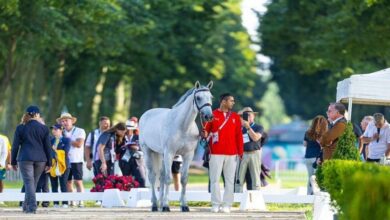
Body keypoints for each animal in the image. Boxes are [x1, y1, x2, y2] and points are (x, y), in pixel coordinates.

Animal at [139, 81, 213, 211]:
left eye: (211, 97)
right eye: (198, 97)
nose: (208, 116)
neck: (182, 126)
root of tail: (146, 114)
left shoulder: (188, 155)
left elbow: (184, 179)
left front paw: (184, 206)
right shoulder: (170, 153)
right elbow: (169, 179)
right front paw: (166, 206)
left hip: (161, 154)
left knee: (161, 176)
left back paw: (159, 203)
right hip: (148, 152)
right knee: (153, 177)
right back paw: (155, 205)